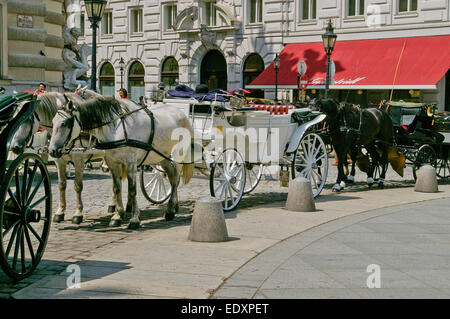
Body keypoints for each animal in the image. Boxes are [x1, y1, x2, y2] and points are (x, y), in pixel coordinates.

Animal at [10, 91, 103, 224]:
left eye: (28, 118)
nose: (14, 147)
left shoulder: (78, 160)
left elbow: (78, 186)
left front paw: (78, 213)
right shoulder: (59, 160)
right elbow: (61, 185)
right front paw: (60, 211)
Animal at [48, 95, 195, 230]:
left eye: (64, 123)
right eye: (53, 123)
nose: (52, 150)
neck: (117, 129)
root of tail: (181, 113)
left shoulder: (129, 163)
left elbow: (132, 189)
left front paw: (134, 219)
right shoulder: (113, 163)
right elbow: (116, 188)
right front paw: (117, 216)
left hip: (177, 156)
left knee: (175, 179)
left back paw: (170, 210)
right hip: (162, 157)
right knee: (171, 177)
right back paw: (174, 207)